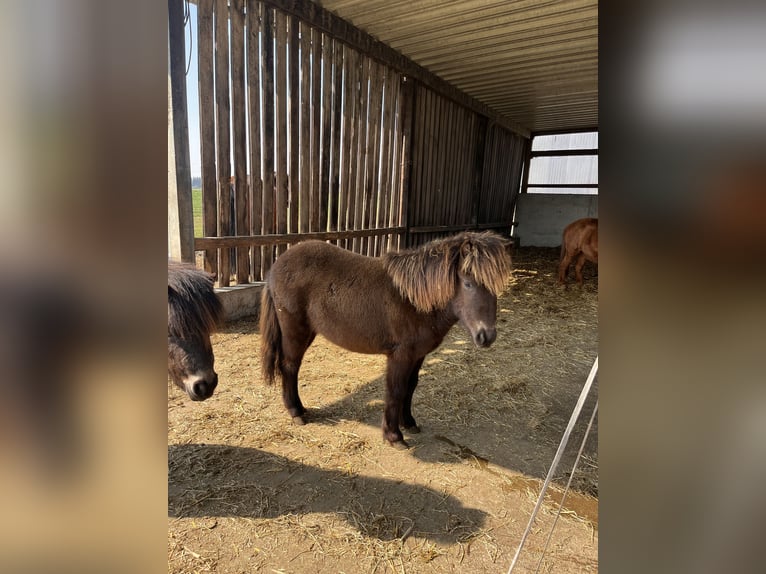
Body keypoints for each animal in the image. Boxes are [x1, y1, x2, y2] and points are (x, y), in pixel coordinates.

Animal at [259, 231, 512, 449]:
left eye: (496, 288)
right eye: (468, 283)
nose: (487, 336)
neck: (413, 300)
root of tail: (276, 266)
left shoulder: (418, 355)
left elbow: (411, 386)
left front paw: (408, 422)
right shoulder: (400, 355)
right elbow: (395, 390)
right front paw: (393, 436)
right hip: (295, 331)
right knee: (290, 366)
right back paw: (296, 412)